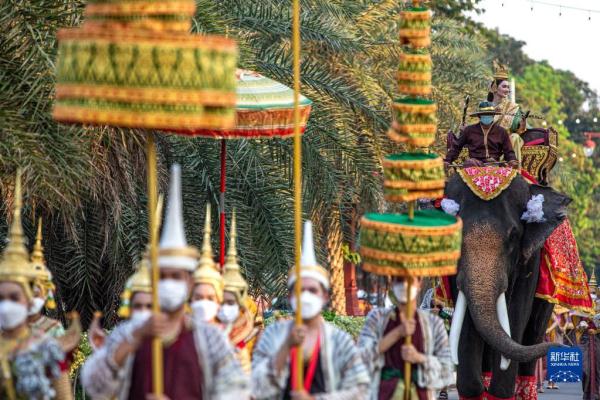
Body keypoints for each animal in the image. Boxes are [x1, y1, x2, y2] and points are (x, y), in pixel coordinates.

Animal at [442, 170, 568, 398]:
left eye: (513, 235)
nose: (564, 350)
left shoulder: (531, 259)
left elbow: (517, 312)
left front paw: (501, 392)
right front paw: (474, 389)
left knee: (533, 332)